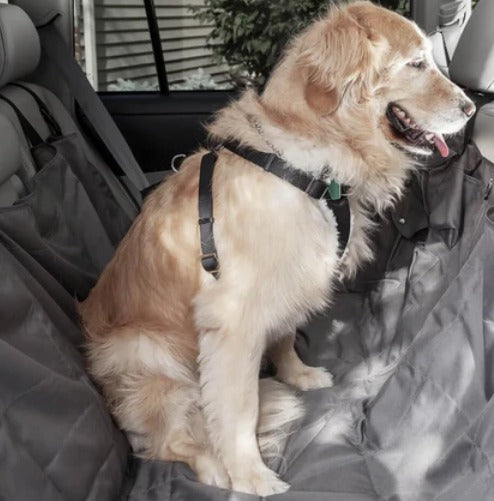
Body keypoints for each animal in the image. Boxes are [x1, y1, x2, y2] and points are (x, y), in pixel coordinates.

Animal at [79, 1, 475, 496]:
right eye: (416, 64)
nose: (472, 107)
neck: (308, 165)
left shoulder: (291, 279)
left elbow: (285, 337)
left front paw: (299, 375)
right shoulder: (233, 320)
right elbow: (239, 409)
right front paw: (249, 474)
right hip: (144, 352)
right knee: (164, 440)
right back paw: (212, 465)